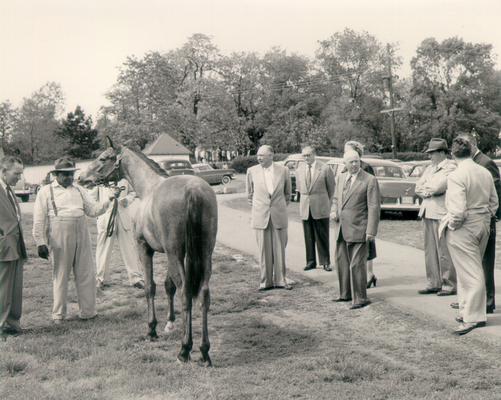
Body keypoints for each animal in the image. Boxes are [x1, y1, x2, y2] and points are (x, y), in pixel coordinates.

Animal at [78, 138, 217, 366]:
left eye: (104, 158)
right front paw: (169, 323)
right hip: (204, 254)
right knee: (203, 294)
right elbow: (168, 285)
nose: (81, 178)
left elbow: (150, 287)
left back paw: (184, 349)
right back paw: (204, 352)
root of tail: (193, 191)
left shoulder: (146, 249)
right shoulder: (174, 254)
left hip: (176, 254)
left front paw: (151, 330)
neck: (149, 189)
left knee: (185, 294)